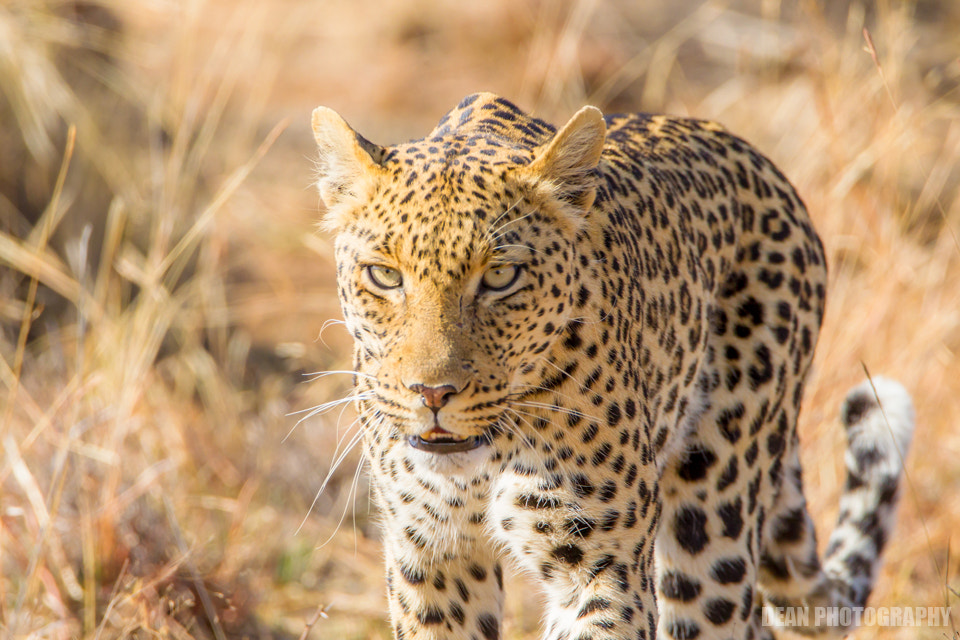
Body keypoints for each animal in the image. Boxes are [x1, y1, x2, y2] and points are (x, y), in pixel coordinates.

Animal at [309, 92, 915, 640]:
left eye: (501, 277)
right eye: (385, 275)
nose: (432, 393)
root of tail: (762, 165)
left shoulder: (602, 571)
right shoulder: (431, 559)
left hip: (716, 519)